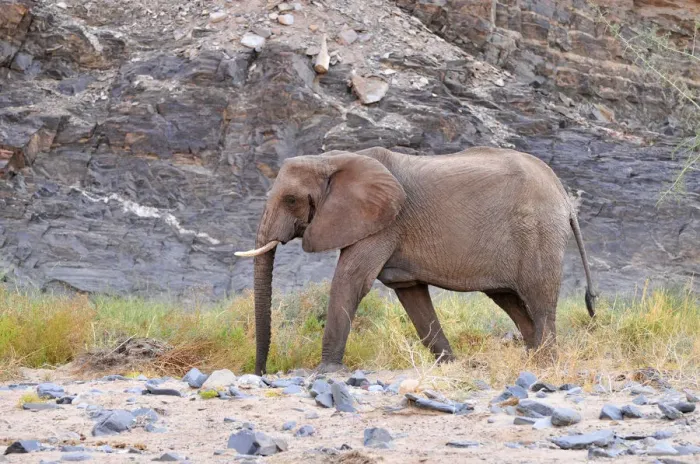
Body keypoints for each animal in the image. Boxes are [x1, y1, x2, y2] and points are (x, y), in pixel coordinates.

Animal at [235, 146, 597, 375]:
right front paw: (451, 366)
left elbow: (351, 281)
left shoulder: (384, 223)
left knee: (539, 300)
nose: (260, 372)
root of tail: (563, 196)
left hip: (538, 233)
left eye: (291, 199)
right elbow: (412, 295)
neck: (331, 159)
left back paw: (545, 367)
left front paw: (325, 372)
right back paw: (532, 362)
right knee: (511, 301)